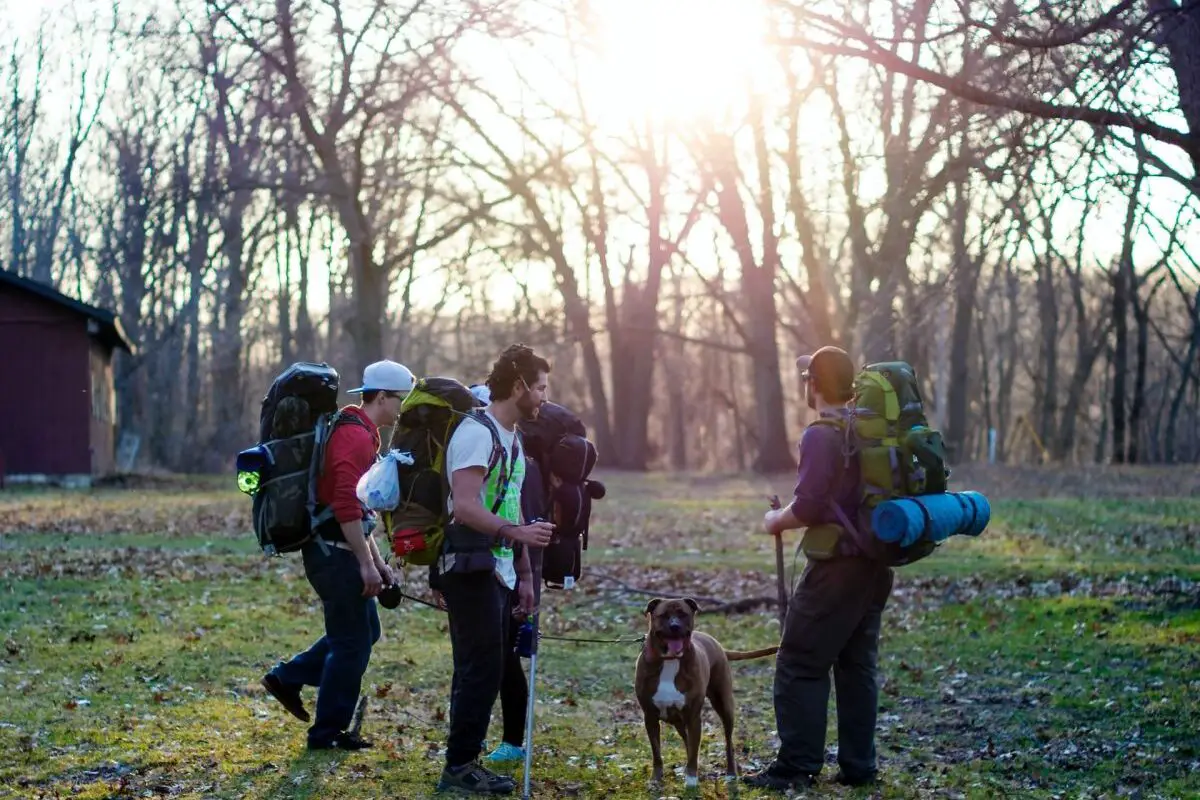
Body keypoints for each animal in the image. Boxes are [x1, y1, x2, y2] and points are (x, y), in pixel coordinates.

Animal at [638, 597, 777, 786]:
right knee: (687, 740)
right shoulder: (650, 717)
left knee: (728, 742)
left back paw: (731, 773)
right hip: (679, 721)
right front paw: (656, 779)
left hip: (724, 705)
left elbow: (693, 752)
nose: (674, 626)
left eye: (683, 614)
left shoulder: (693, 717)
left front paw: (691, 780)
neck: (670, 660)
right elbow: (657, 752)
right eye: (663, 615)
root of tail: (718, 645)